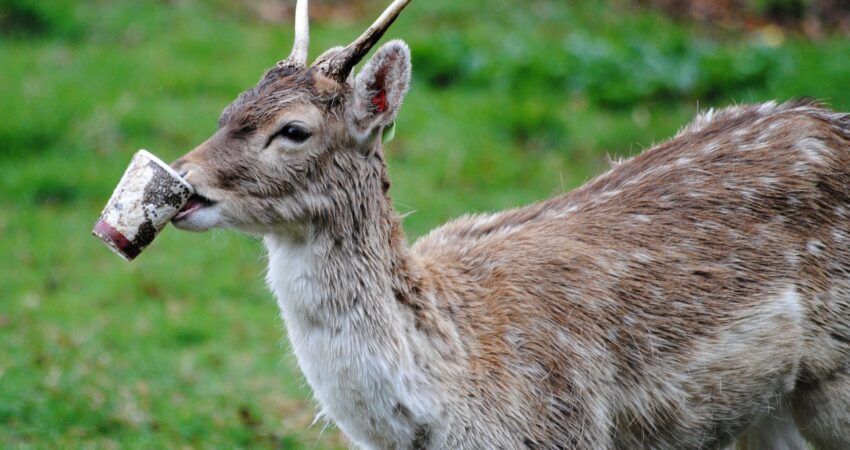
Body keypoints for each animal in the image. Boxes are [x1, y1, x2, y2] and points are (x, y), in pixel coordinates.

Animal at [168, 0, 850, 448]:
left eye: (293, 130)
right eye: (229, 110)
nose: (181, 182)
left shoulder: (566, 430)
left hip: (834, 384)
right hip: (767, 411)